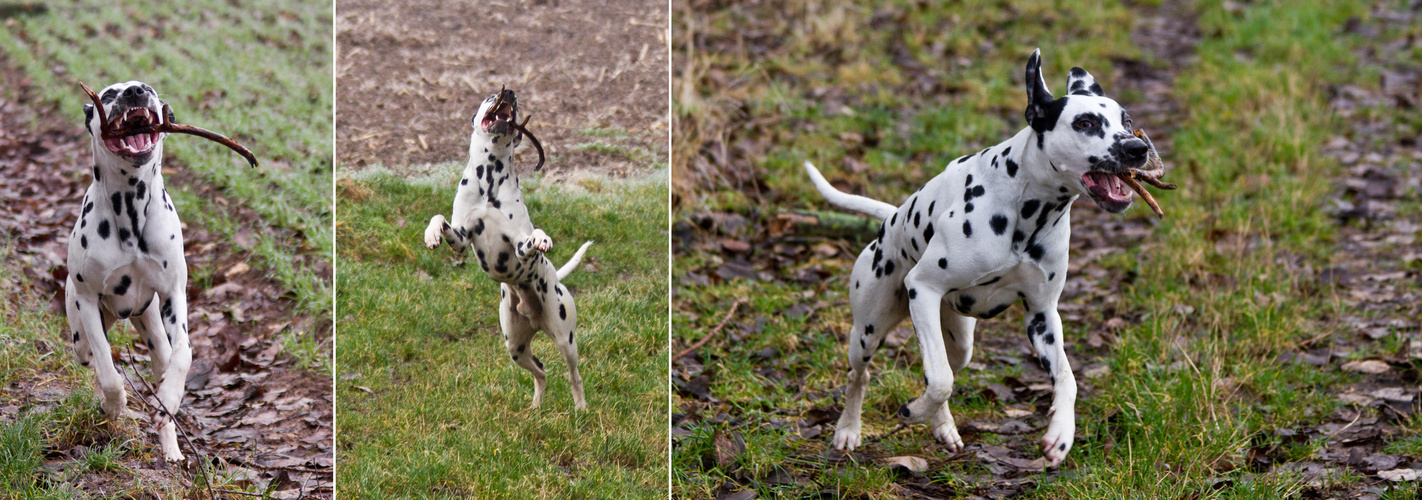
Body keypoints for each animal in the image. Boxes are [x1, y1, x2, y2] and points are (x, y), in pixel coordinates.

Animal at [66, 80, 193, 460]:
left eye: (149, 88)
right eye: (108, 95)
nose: (135, 91)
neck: (130, 208)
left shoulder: (174, 294)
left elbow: (184, 354)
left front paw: (168, 400)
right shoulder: (87, 301)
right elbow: (108, 372)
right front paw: (114, 406)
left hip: (153, 326)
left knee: (165, 359)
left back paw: (171, 449)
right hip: (79, 331)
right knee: (92, 359)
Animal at [426, 88, 594, 409]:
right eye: (489, 97)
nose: (510, 93)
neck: (488, 179)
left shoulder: (516, 244)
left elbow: (530, 239)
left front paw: (541, 239)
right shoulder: (462, 239)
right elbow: (440, 219)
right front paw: (431, 234)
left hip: (565, 338)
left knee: (574, 376)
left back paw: (580, 407)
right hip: (515, 346)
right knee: (540, 371)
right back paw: (536, 407)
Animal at [802, 49, 1154, 465]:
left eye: (1127, 121)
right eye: (1085, 122)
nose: (1138, 149)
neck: (1027, 212)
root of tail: (890, 220)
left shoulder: (1042, 315)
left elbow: (1067, 380)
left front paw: (1061, 434)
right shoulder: (923, 287)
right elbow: (940, 382)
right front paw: (912, 413)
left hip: (958, 341)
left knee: (943, 367)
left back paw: (943, 427)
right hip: (869, 329)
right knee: (864, 375)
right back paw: (848, 430)